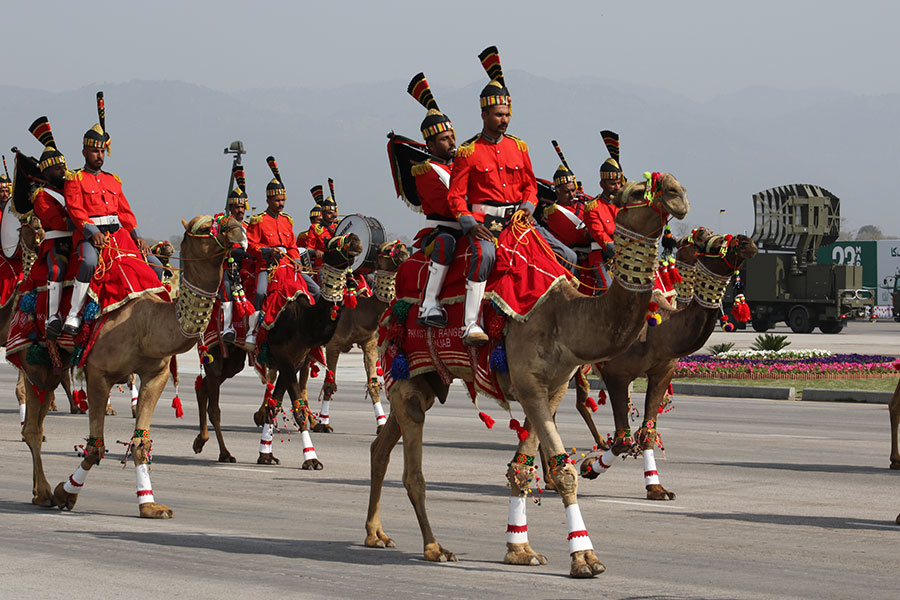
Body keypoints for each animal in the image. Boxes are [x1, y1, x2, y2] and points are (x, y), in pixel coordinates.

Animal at [20, 214, 246, 516]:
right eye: (205, 227)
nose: (237, 228)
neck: (145, 324)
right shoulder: (98, 373)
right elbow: (95, 447)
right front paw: (64, 493)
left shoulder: (156, 374)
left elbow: (141, 442)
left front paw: (150, 505)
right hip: (33, 358)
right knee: (33, 427)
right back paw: (45, 493)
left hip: (53, 364)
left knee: (38, 420)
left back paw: (37, 493)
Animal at [312, 241, 412, 434]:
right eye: (385, 249)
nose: (404, 252)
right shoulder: (334, 344)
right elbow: (329, 382)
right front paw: (324, 423)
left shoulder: (369, 343)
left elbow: (373, 384)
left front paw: (381, 424)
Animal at [364, 172, 688, 576]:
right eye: (637, 191)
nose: (677, 194)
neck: (563, 316)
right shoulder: (529, 382)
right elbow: (564, 472)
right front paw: (585, 557)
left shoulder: (553, 386)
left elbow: (522, 467)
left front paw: (519, 549)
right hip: (403, 371)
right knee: (413, 470)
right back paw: (434, 547)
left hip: (425, 380)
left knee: (381, 447)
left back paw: (375, 533)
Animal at [576, 232, 760, 500]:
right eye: (707, 238)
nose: (747, 242)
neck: (658, 331)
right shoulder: (617, 373)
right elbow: (623, 438)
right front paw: (590, 467)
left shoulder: (662, 372)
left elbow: (648, 432)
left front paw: (656, 487)